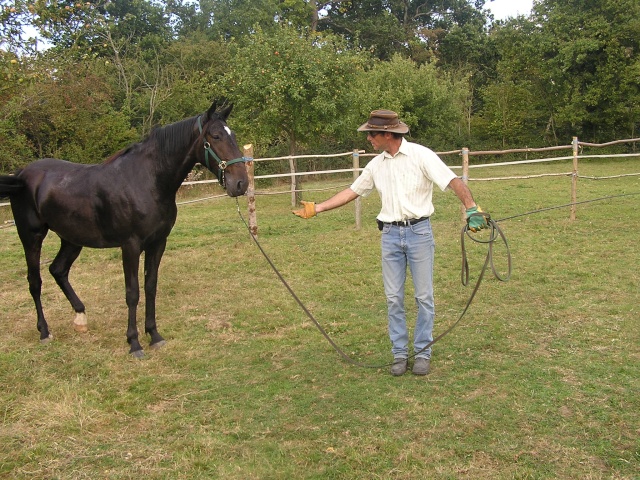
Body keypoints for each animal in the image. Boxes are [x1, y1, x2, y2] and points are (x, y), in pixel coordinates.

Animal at [0, 100, 249, 356]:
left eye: (233, 135)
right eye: (216, 136)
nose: (241, 183)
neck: (147, 182)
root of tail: (21, 174)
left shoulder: (158, 243)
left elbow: (150, 287)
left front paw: (154, 335)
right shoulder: (130, 246)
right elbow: (132, 293)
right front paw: (134, 343)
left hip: (71, 239)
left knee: (58, 270)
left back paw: (80, 317)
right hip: (31, 237)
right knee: (35, 282)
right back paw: (44, 332)